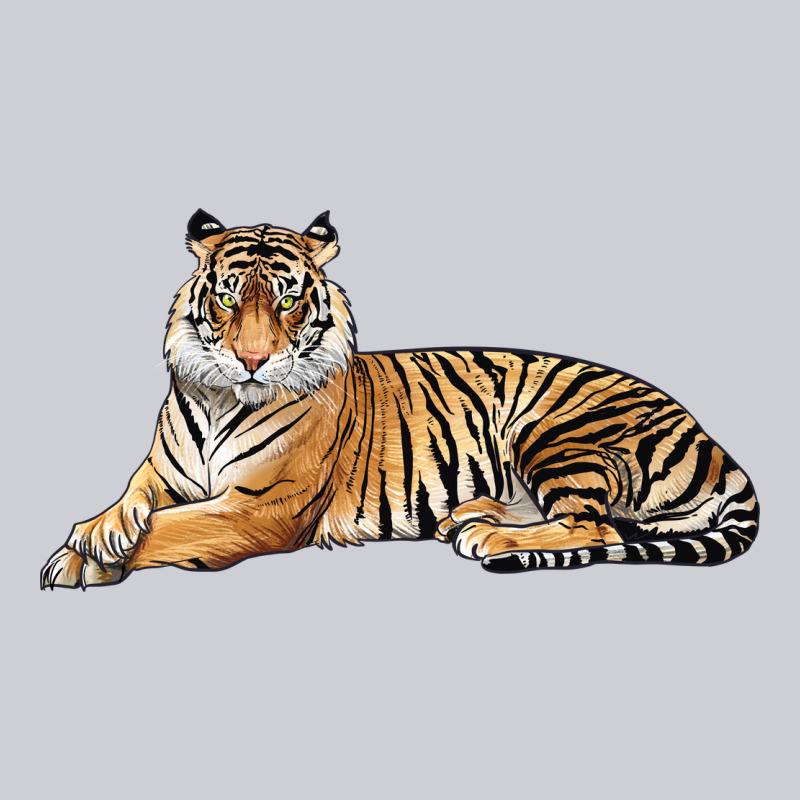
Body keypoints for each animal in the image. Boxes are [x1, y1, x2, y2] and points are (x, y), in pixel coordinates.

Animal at [41, 209, 759, 588]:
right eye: (226, 298)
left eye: (287, 299)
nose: (252, 360)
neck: (220, 400)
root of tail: (711, 439)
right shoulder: (161, 474)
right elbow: (131, 502)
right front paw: (94, 537)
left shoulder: (260, 508)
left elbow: (173, 526)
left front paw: (83, 559)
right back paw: (468, 517)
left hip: (555, 432)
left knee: (596, 524)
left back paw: (486, 538)